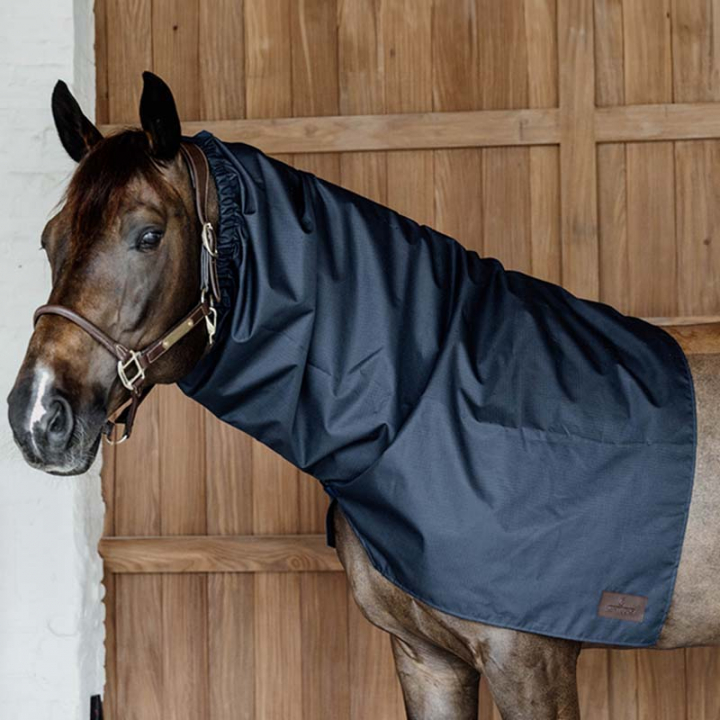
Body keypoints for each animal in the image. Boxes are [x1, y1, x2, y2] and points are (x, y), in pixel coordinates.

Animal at [8, 72, 720, 720]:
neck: (426, 397)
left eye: (149, 235)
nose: (37, 415)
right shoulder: (426, 659)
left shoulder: (530, 664)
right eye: (49, 239)